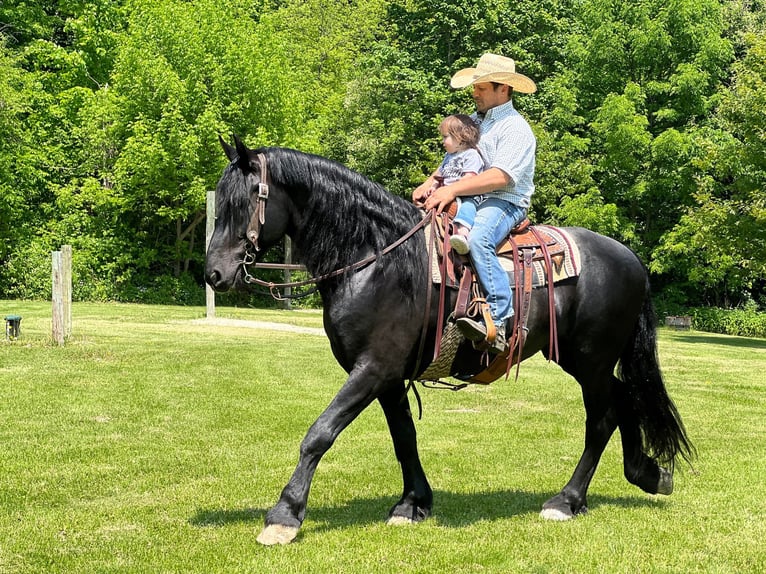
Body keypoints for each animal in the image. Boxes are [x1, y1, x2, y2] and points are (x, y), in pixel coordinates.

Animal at [206, 137, 696, 548]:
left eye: (243, 202)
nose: (213, 273)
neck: (376, 259)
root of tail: (629, 258)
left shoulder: (373, 368)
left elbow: (319, 434)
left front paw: (284, 515)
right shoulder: (388, 376)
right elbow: (404, 437)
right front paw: (412, 503)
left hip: (590, 360)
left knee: (603, 417)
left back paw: (567, 500)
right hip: (588, 361)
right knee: (625, 398)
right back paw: (647, 473)